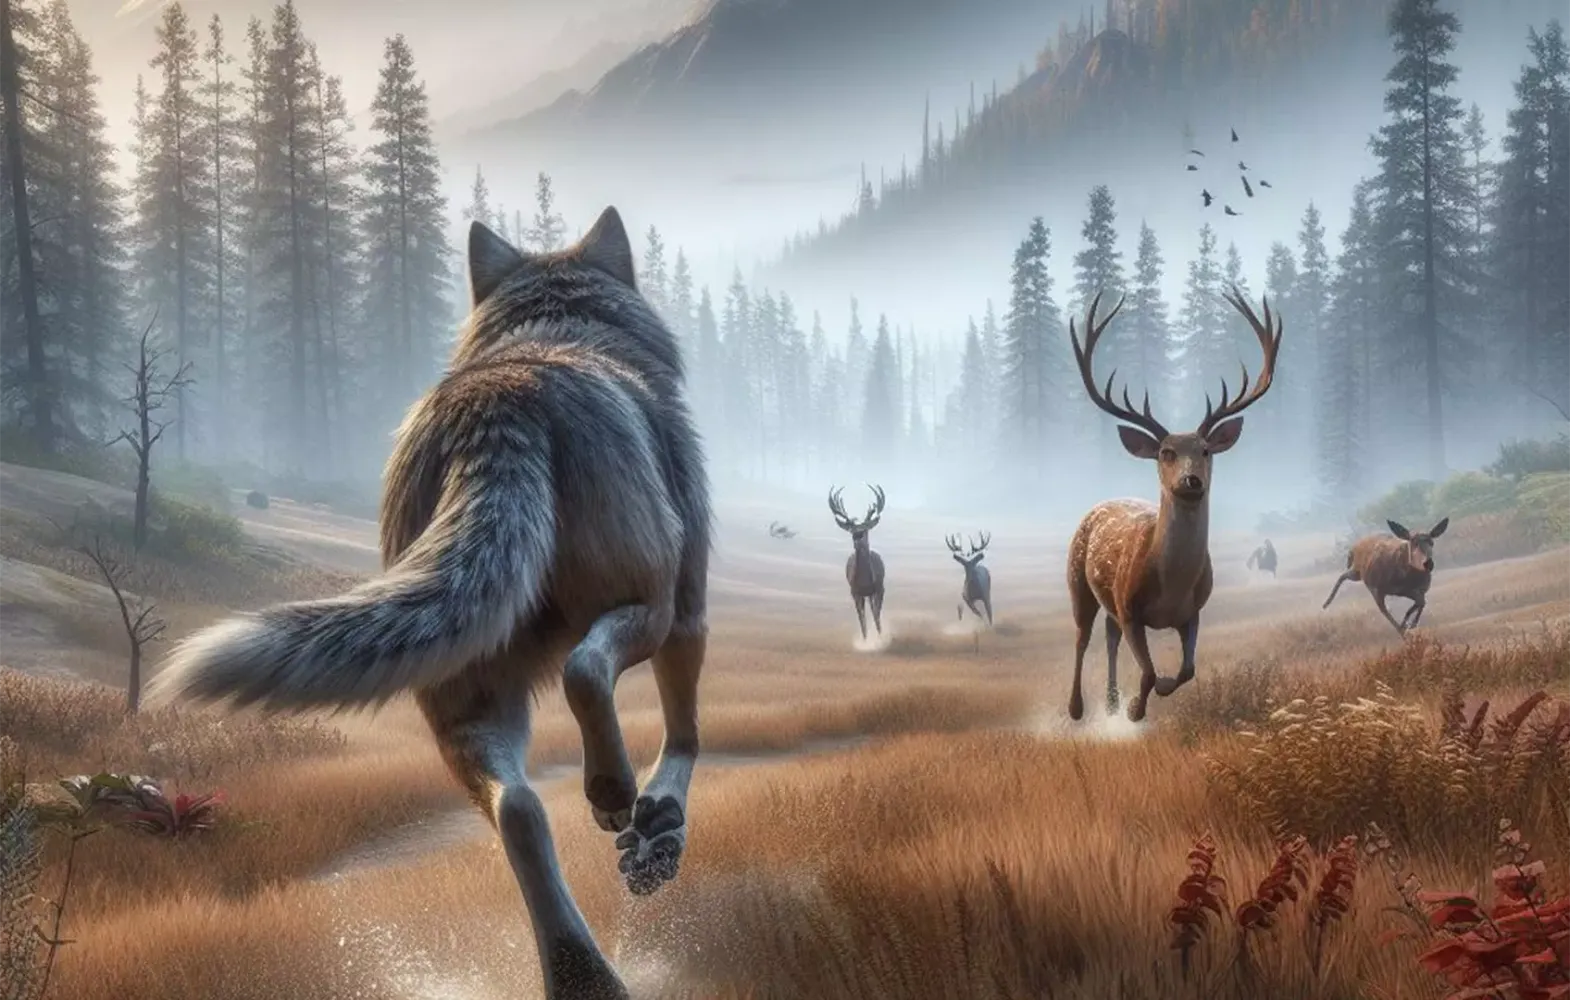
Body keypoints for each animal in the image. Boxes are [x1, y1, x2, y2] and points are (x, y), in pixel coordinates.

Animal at [149, 207, 711, 1000]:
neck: (559, 328)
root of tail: (498, 400)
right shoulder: (688, 609)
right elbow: (684, 733)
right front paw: (658, 827)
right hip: (642, 607)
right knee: (585, 672)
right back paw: (611, 792)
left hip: (463, 706)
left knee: (520, 811)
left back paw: (584, 976)